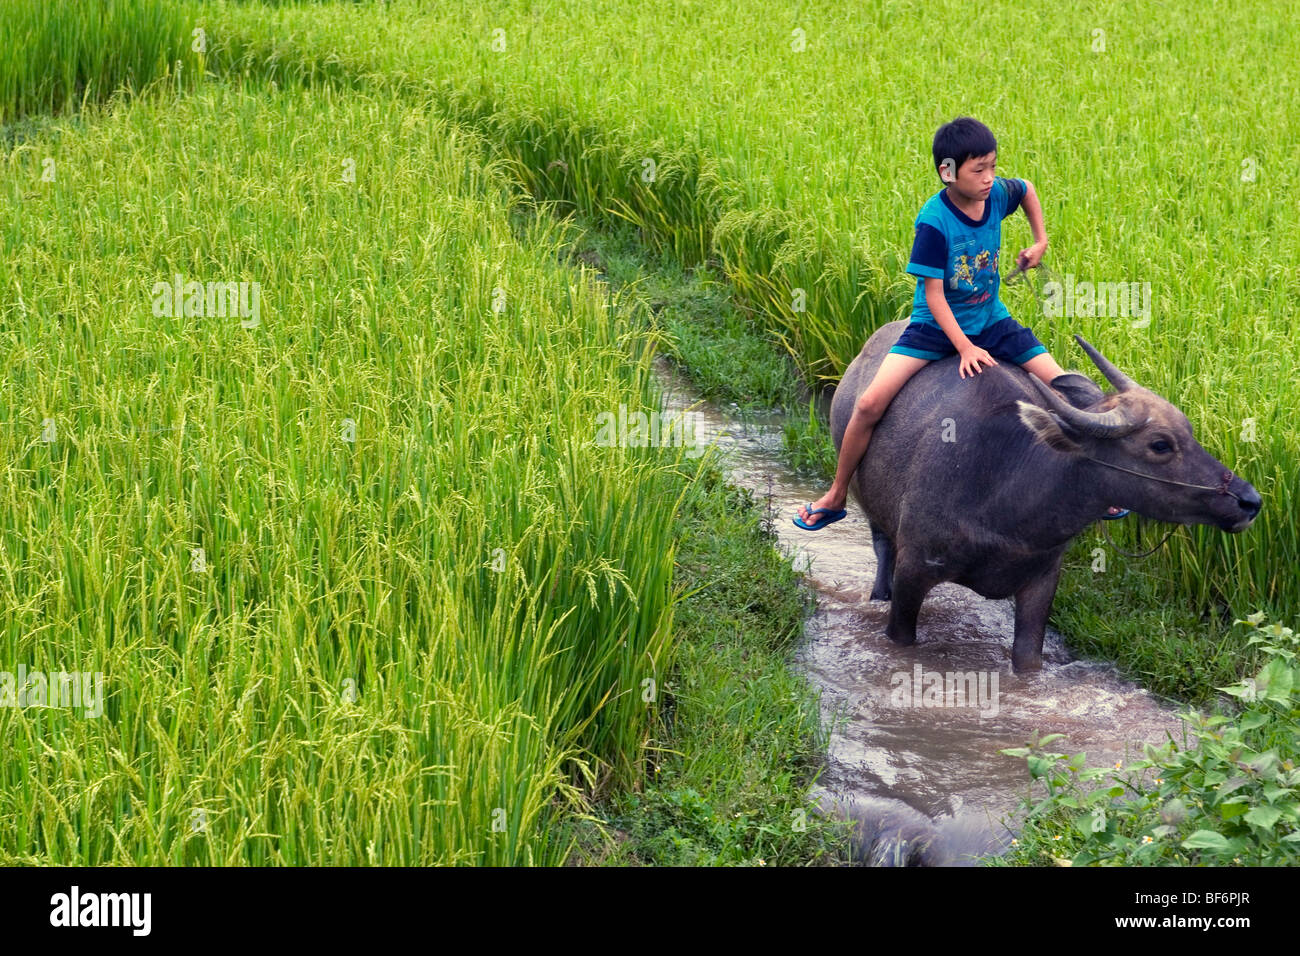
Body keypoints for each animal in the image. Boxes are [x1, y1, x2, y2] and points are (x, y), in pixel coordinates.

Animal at [832, 321, 1258, 671]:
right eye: (1160, 444)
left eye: (1189, 429)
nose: (1249, 500)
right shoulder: (914, 571)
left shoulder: (1042, 581)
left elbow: (1028, 659)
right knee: (881, 552)